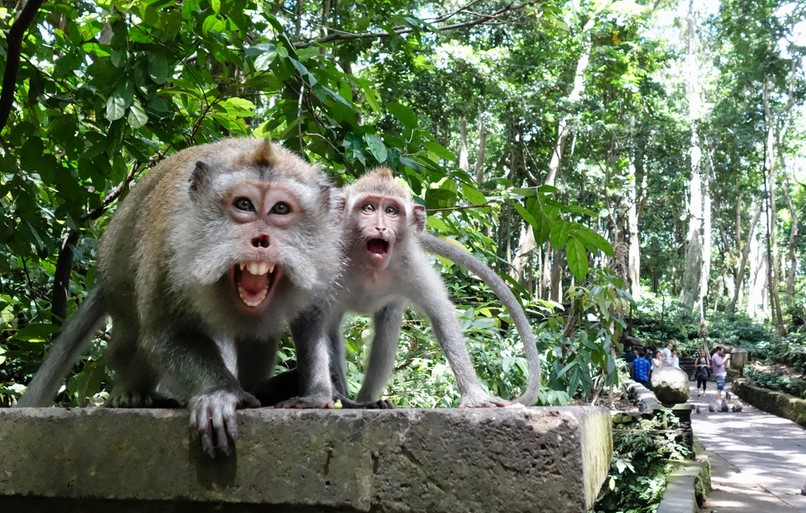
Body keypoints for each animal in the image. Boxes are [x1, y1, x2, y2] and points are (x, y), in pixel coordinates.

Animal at [18, 138, 342, 456]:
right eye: (244, 204)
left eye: (280, 209)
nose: (261, 240)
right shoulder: (168, 250)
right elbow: (167, 336)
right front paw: (219, 393)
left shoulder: (323, 260)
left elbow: (312, 320)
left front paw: (315, 394)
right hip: (118, 283)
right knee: (130, 334)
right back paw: (131, 393)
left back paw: (260, 386)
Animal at [295, 167, 541, 408]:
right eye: (369, 208)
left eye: (391, 211)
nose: (380, 227)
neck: (369, 268)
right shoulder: (326, 261)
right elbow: (309, 319)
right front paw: (318, 397)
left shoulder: (412, 268)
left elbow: (441, 315)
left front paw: (475, 397)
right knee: (330, 327)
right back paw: (346, 398)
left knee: (387, 324)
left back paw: (367, 401)